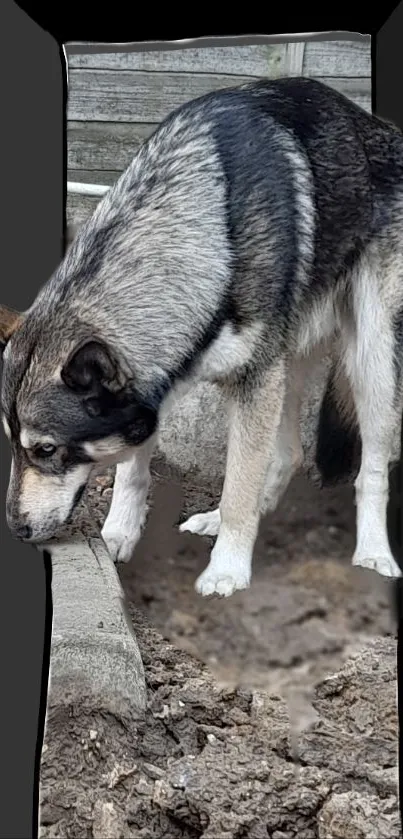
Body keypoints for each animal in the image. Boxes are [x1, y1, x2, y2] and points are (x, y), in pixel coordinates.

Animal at [0, 75, 403, 592]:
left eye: (46, 449)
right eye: (13, 445)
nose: (15, 531)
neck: (206, 233)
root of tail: (380, 127)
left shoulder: (255, 382)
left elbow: (238, 487)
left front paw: (228, 569)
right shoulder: (160, 386)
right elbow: (135, 471)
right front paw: (118, 536)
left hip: (368, 359)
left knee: (370, 466)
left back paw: (372, 554)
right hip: (287, 366)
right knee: (289, 453)